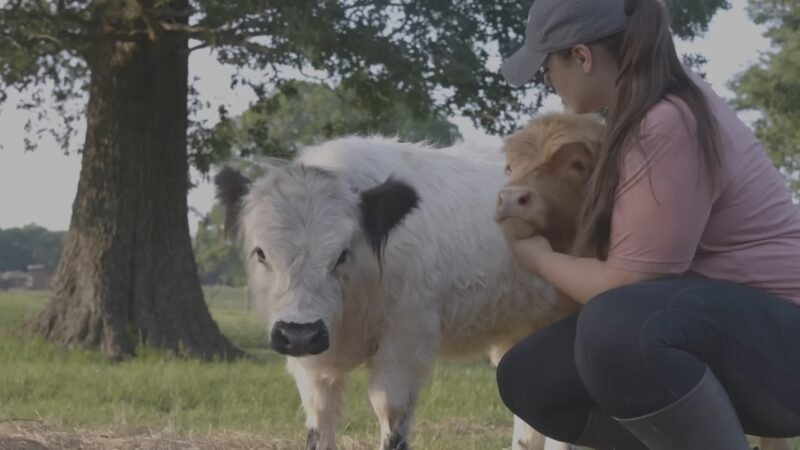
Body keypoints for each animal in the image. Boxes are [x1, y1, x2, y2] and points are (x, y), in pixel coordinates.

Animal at [212, 137, 580, 450]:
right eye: (261, 253)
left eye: (342, 254)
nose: (300, 334)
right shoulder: (310, 362)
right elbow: (320, 419)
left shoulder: (405, 340)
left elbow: (390, 413)